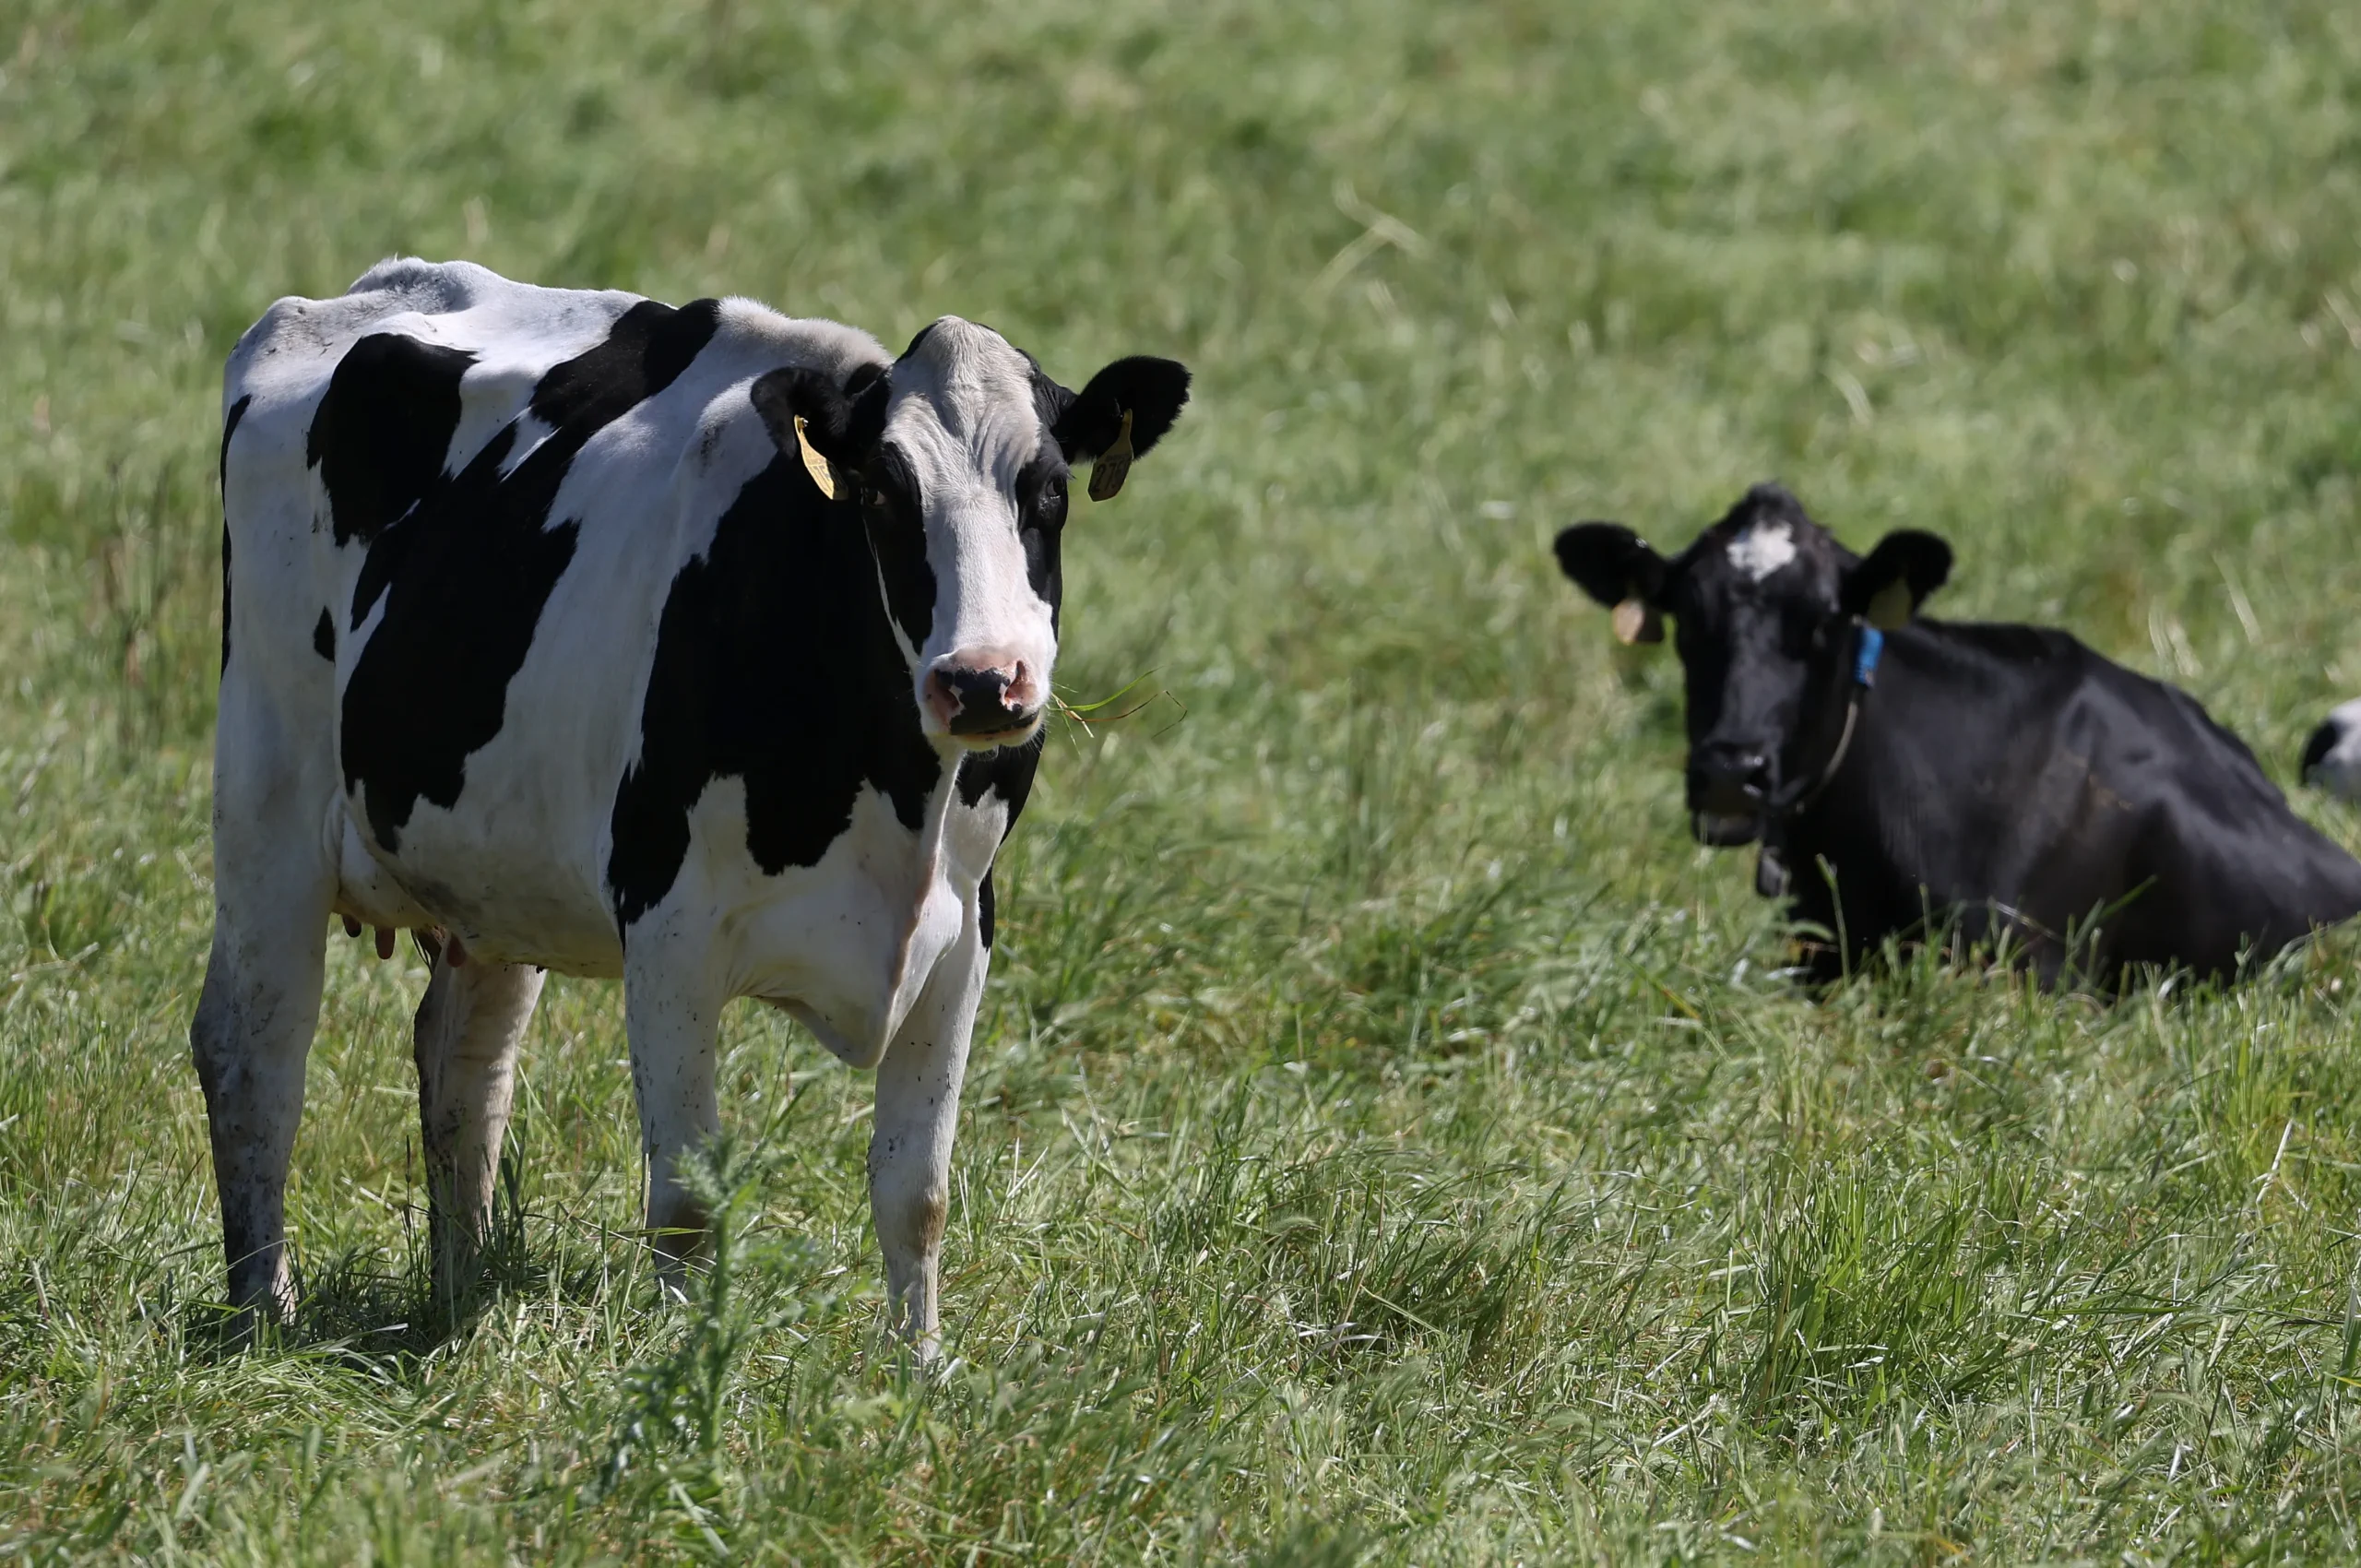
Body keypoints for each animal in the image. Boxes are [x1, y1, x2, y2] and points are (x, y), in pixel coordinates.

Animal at [200, 259, 1190, 1350]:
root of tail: (374, 290)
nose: (980, 682)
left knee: (464, 1064)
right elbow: (686, 1205)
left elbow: (916, 1194)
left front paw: (919, 1369)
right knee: (254, 1049)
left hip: (495, 871)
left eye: (1047, 493)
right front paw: (685, 1368)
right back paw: (262, 1310)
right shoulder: (668, 927)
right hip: (268, 798)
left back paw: (458, 1301)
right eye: (884, 493)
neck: (897, 798)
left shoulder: (963, 929)